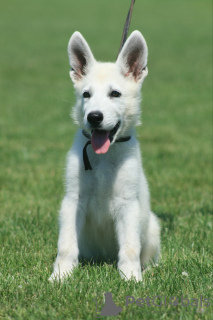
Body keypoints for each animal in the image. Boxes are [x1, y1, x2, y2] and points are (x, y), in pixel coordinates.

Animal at [49, 29, 160, 280]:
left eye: (115, 93)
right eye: (86, 94)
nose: (94, 117)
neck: (102, 159)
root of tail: (103, 258)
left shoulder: (128, 203)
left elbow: (130, 248)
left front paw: (131, 278)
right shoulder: (73, 200)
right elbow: (66, 245)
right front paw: (60, 276)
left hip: (153, 228)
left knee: (148, 254)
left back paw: (149, 269)